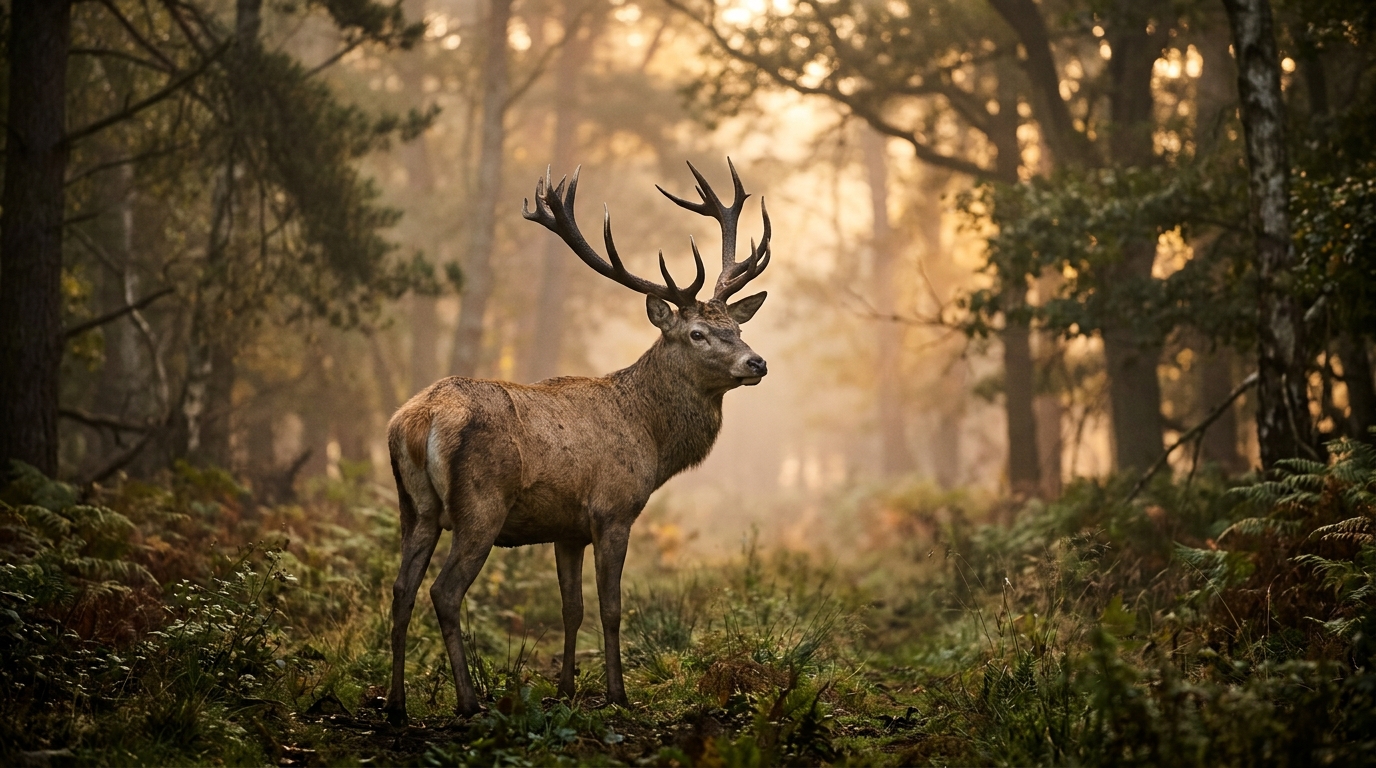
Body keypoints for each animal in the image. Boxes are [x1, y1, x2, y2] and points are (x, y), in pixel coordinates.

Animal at [384, 159, 773, 723]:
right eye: (697, 333)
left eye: (737, 329)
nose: (756, 362)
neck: (651, 439)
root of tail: (419, 419)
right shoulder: (613, 509)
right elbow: (610, 607)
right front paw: (617, 693)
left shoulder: (566, 527)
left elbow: (572, 607)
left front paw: (566, 688)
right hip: (481, 504)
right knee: (444, 591)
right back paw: (469, 700)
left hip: (414, 507)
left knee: (400, 589)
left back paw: (395, 704)